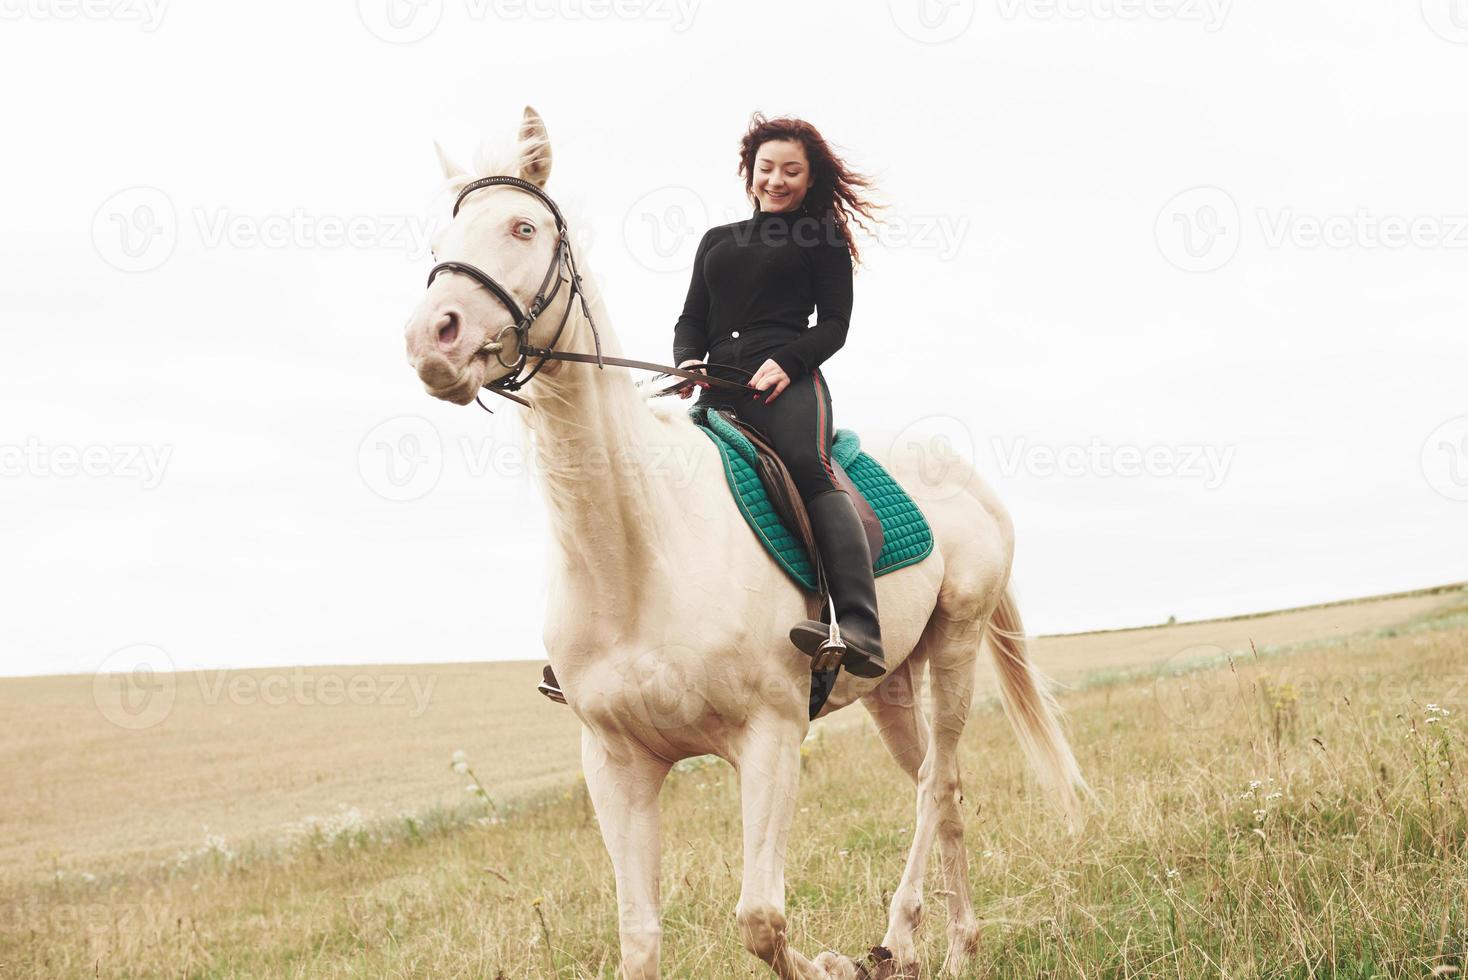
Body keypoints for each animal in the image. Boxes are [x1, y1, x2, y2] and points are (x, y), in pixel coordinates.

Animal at [402, 107, 1092, 979]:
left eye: (523, 227)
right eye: (437, 244)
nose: (434, 339)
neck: (638, 554)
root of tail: (967, 477)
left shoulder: (771, 738)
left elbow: (761, 921)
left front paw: (831, 966)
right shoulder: (616, 765)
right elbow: (639, 939)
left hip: (956, 648)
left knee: (938, 782)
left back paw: (914, 940)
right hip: (892, 685)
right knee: (945, 787)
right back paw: (942, 943)